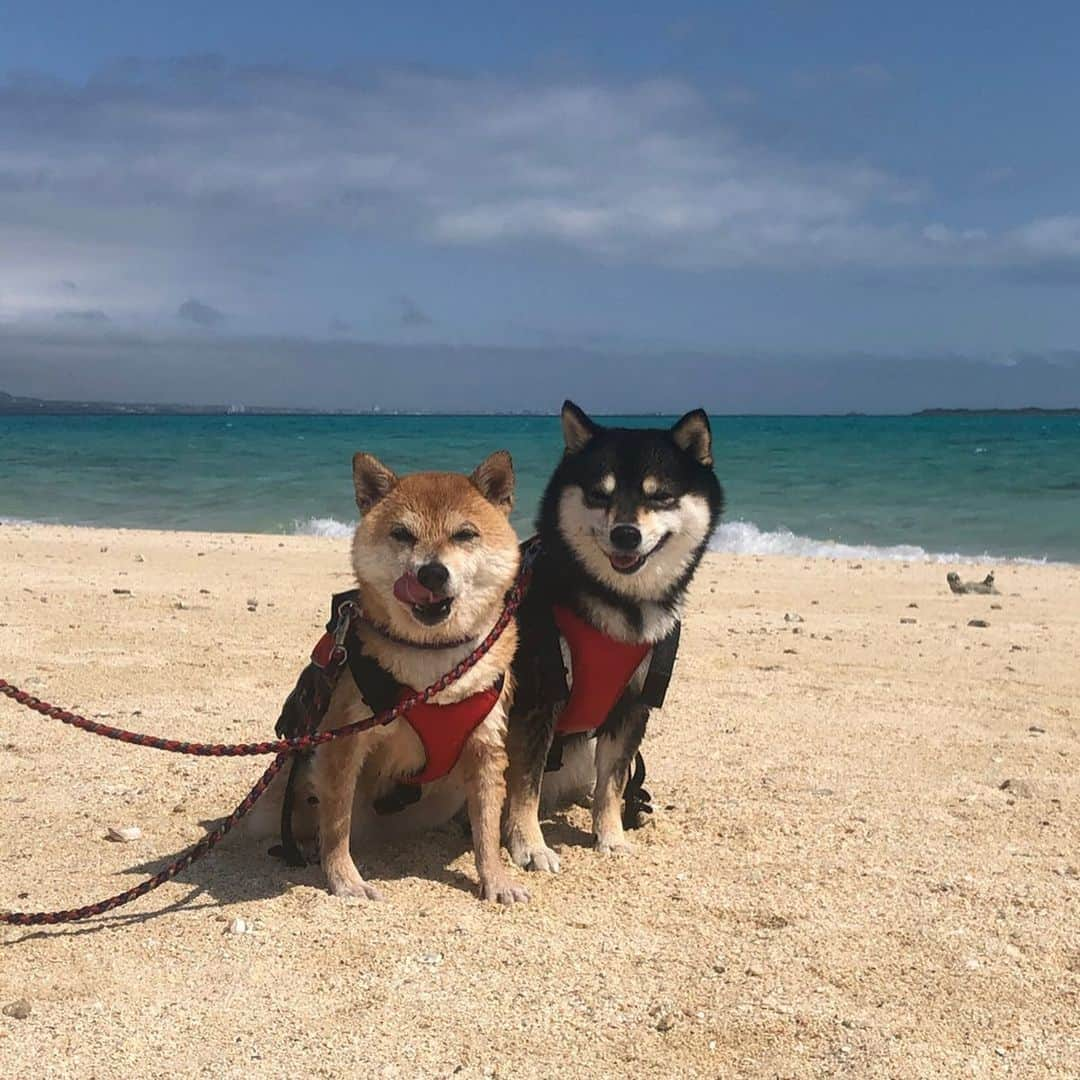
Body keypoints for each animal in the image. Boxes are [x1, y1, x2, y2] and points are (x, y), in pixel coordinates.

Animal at [501, 401, 721, 872]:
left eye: (660, 496)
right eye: (599, 495)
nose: (625, 533)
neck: (619, 604)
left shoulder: (634, 705)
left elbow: (613, 782)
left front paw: (611, 836)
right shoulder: (538, 698)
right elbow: (524, 786)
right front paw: (530, 846)